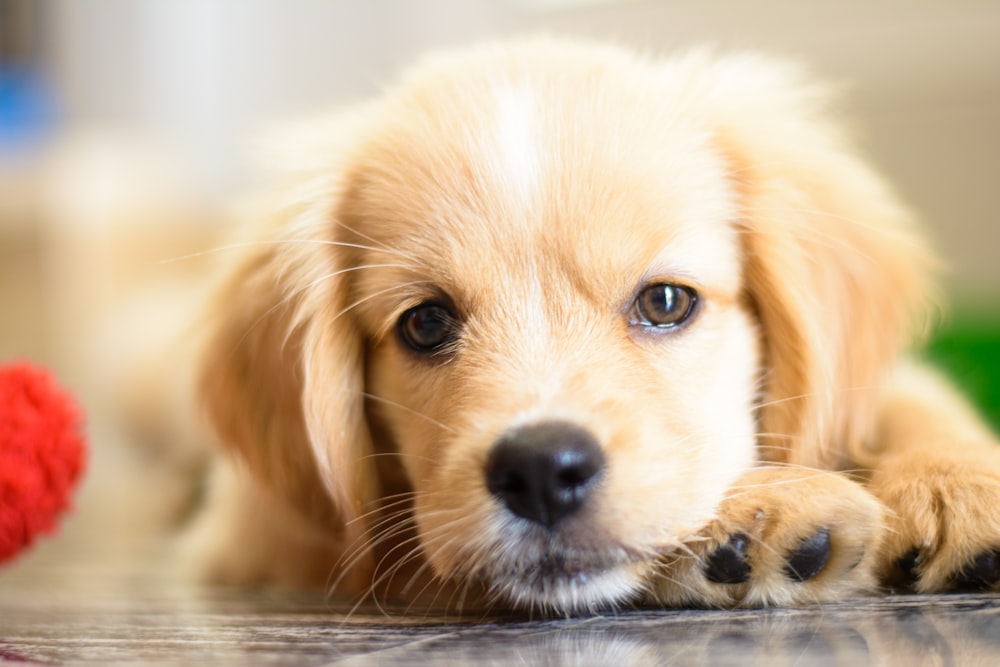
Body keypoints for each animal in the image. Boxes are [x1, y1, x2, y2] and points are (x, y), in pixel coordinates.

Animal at [184, 39, 1000, 612]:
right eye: (425, 323)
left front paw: (958, 481)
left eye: (665, 302)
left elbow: (907, 394)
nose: (542, 471)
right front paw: (758, 516)